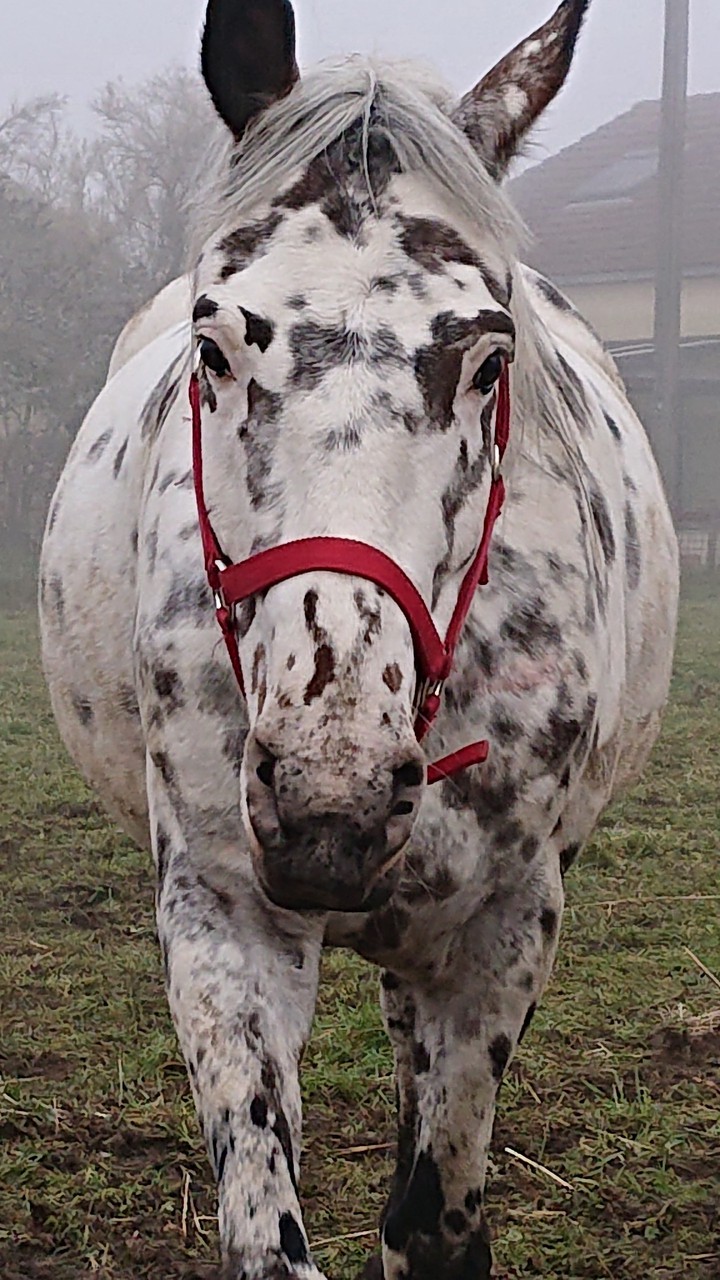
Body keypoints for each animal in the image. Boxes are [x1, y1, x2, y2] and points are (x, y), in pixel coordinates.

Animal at [39, 1, 679, 1276]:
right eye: (215, 345)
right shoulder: (223, 915)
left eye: (488, 357)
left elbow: (433, 1222)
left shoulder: (498, 931)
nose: (328, 803)